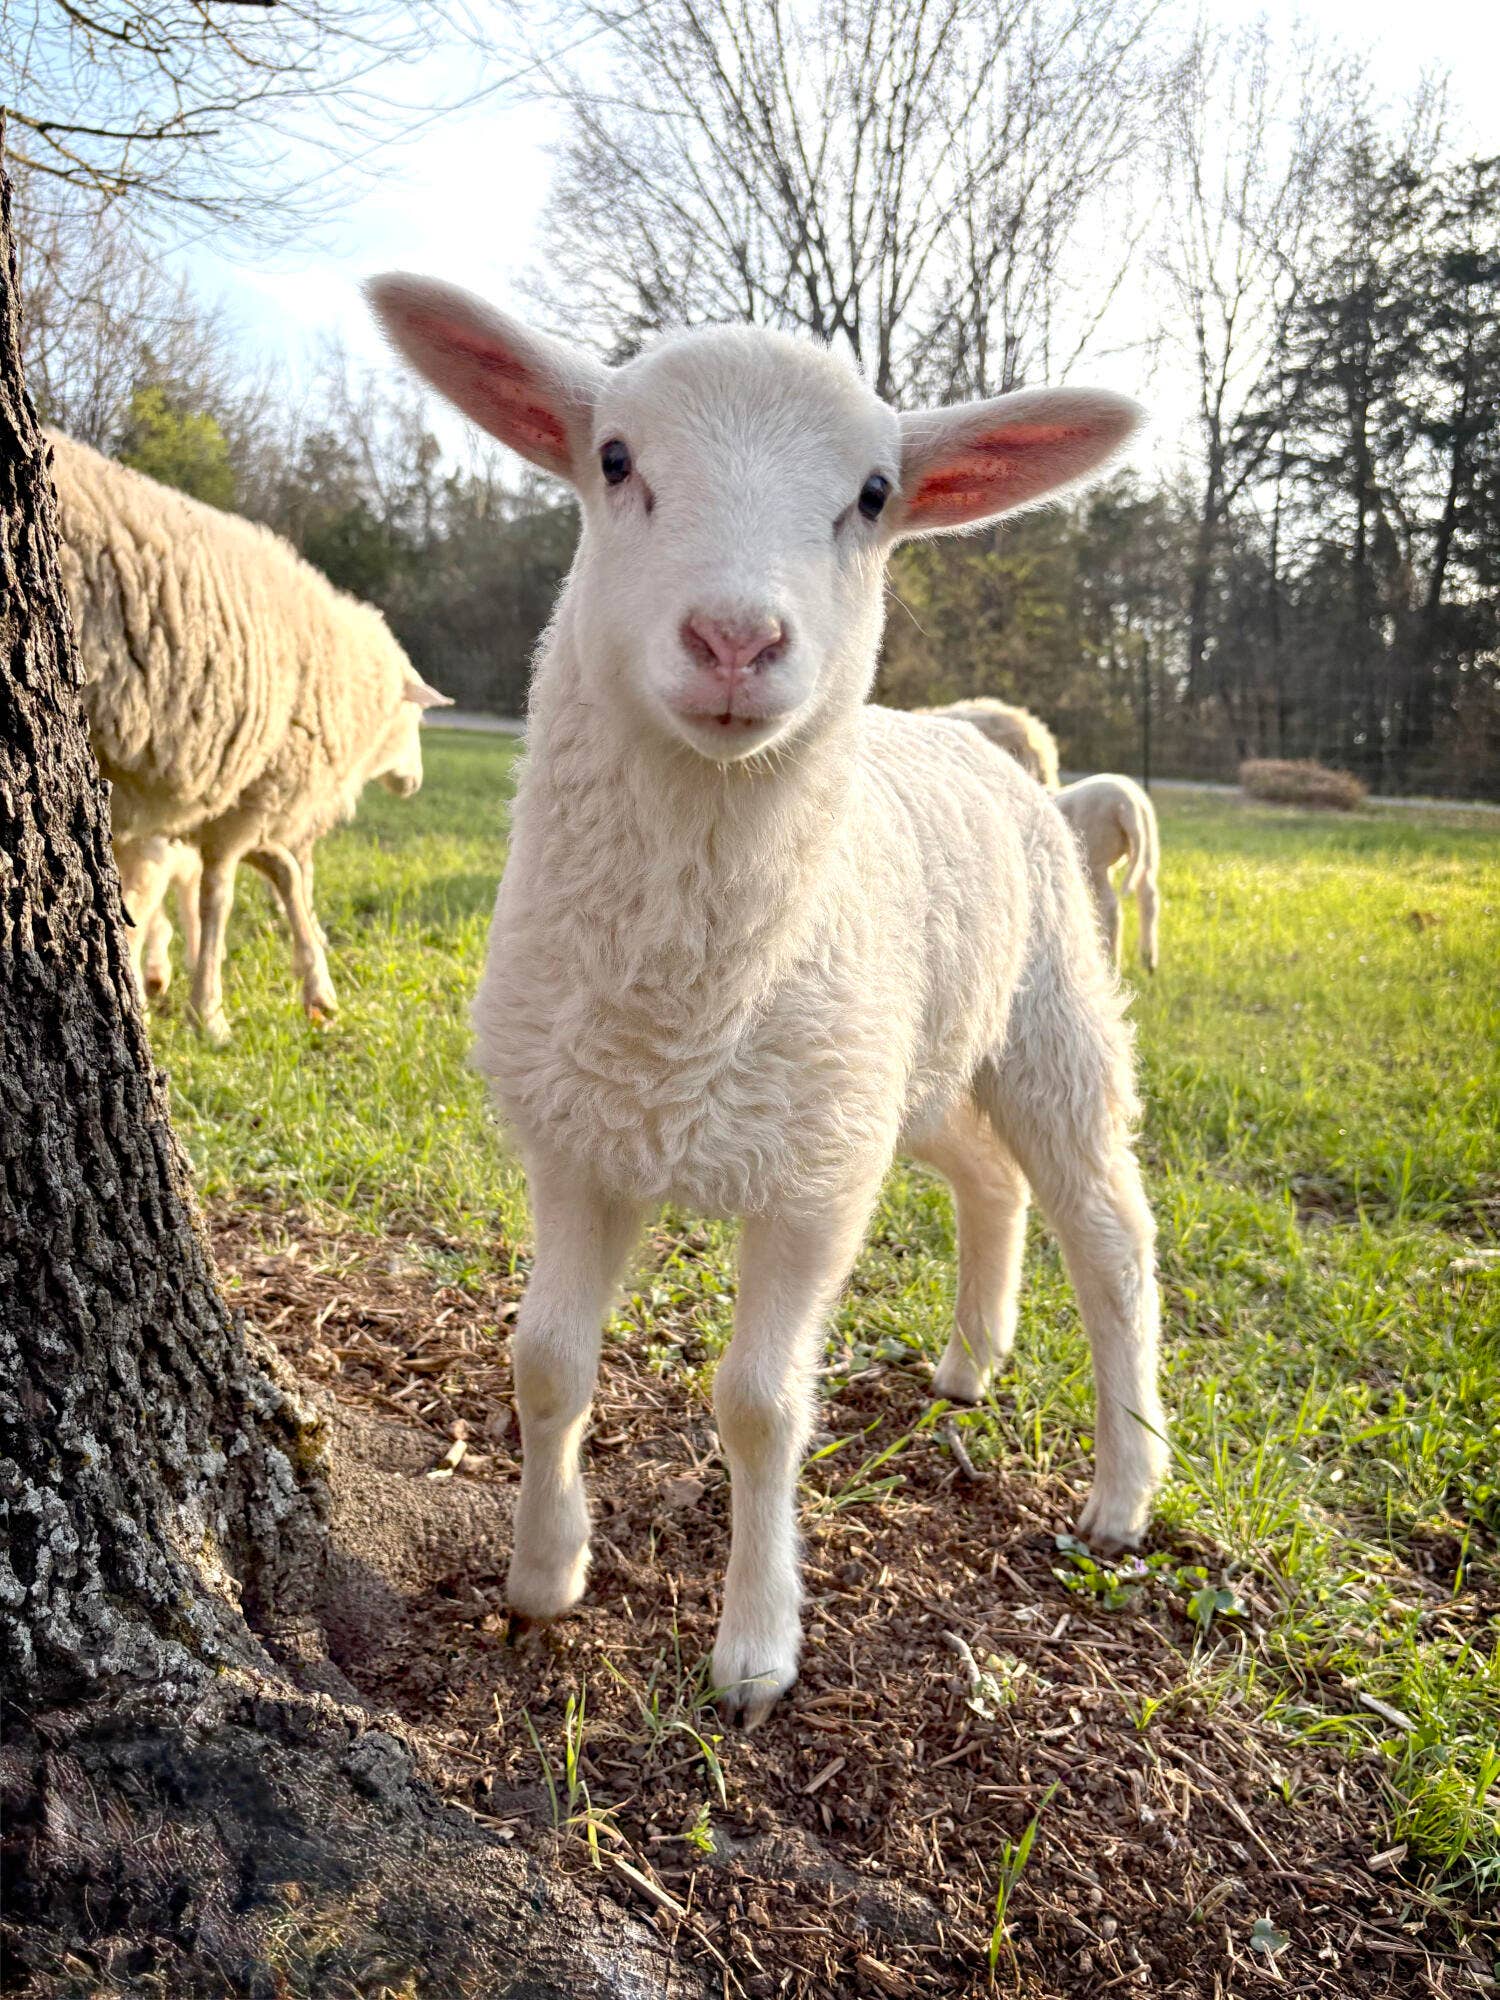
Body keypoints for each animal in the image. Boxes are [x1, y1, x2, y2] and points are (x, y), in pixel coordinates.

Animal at [46, 430, 449, 1040]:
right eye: (416, 720)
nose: (416, 782)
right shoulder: (252, 799)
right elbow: (221, 895)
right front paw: (208, 1011)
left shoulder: (232, 801)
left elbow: (282, 871)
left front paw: (316, 988)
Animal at [1054, 774, 1161, 973]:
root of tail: (1128, 804)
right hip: (1148, 850)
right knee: (1149, 898)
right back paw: (1148, 960)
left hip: (1095, 860)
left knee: (1111, 908)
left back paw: (1111, 963)